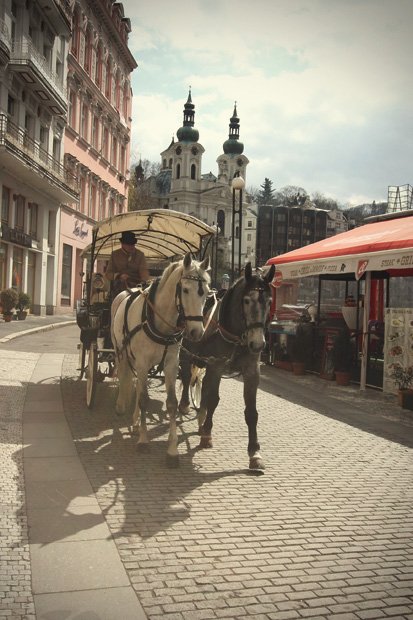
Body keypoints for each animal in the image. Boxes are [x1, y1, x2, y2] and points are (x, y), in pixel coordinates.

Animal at [110, 252, 209, 464]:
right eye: (185, 290)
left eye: (205, 292)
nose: (197, 332)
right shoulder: (142, 362)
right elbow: (144, 399)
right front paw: (143, 441)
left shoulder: (171, 363)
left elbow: (171, 403)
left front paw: (172, 451)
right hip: (121, 351)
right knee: (125, 377)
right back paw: (122, 407)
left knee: (137, 385)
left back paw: (135, 422)